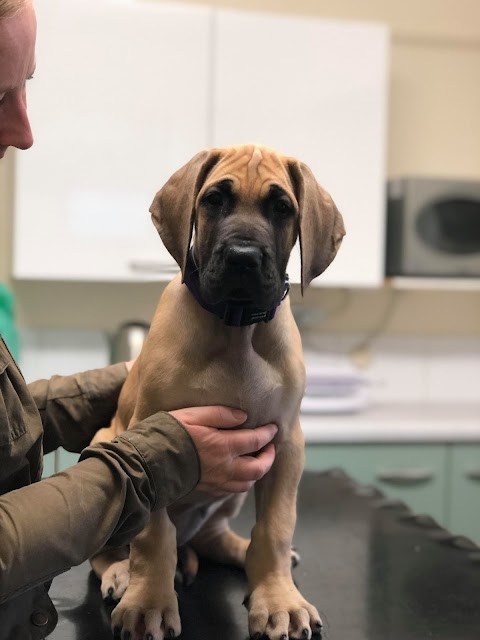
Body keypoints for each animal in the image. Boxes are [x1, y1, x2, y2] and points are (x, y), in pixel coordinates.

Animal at [90, 145, 344, 640]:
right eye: (213, 200)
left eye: (282, 208)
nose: (243, 258)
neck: (236, 325)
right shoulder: (150, 441)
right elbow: (154, 536)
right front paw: (148, 601)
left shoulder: (287, 445)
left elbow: (275, 528)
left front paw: (279, 599)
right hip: (106, 446)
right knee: (114, 550)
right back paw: (122, 573)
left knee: (215, 539)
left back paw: (238, 552)